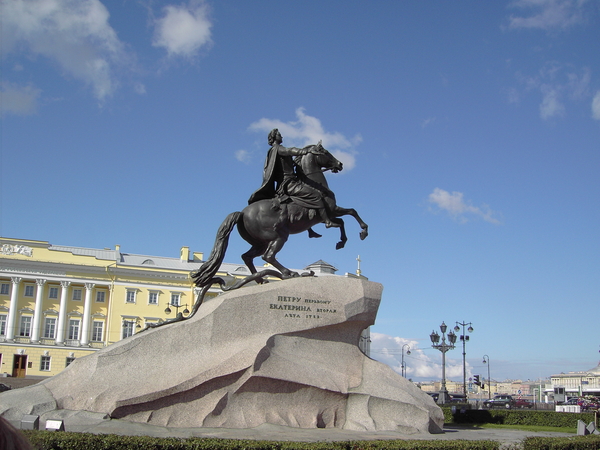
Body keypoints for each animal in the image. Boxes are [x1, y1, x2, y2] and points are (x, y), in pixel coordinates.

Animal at [192, 142, 368, 286]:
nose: (340, 164)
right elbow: (351, 213)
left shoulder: (325, 215)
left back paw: (261, 279)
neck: (316, 186)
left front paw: (342, 241)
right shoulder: (331, 210)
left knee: (247, 257)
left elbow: (344, 220)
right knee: (268, 257)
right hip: (279, 236)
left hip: (260, 243)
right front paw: (361, 232)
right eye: (325, 152)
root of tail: (241, 213)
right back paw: (288, 273)